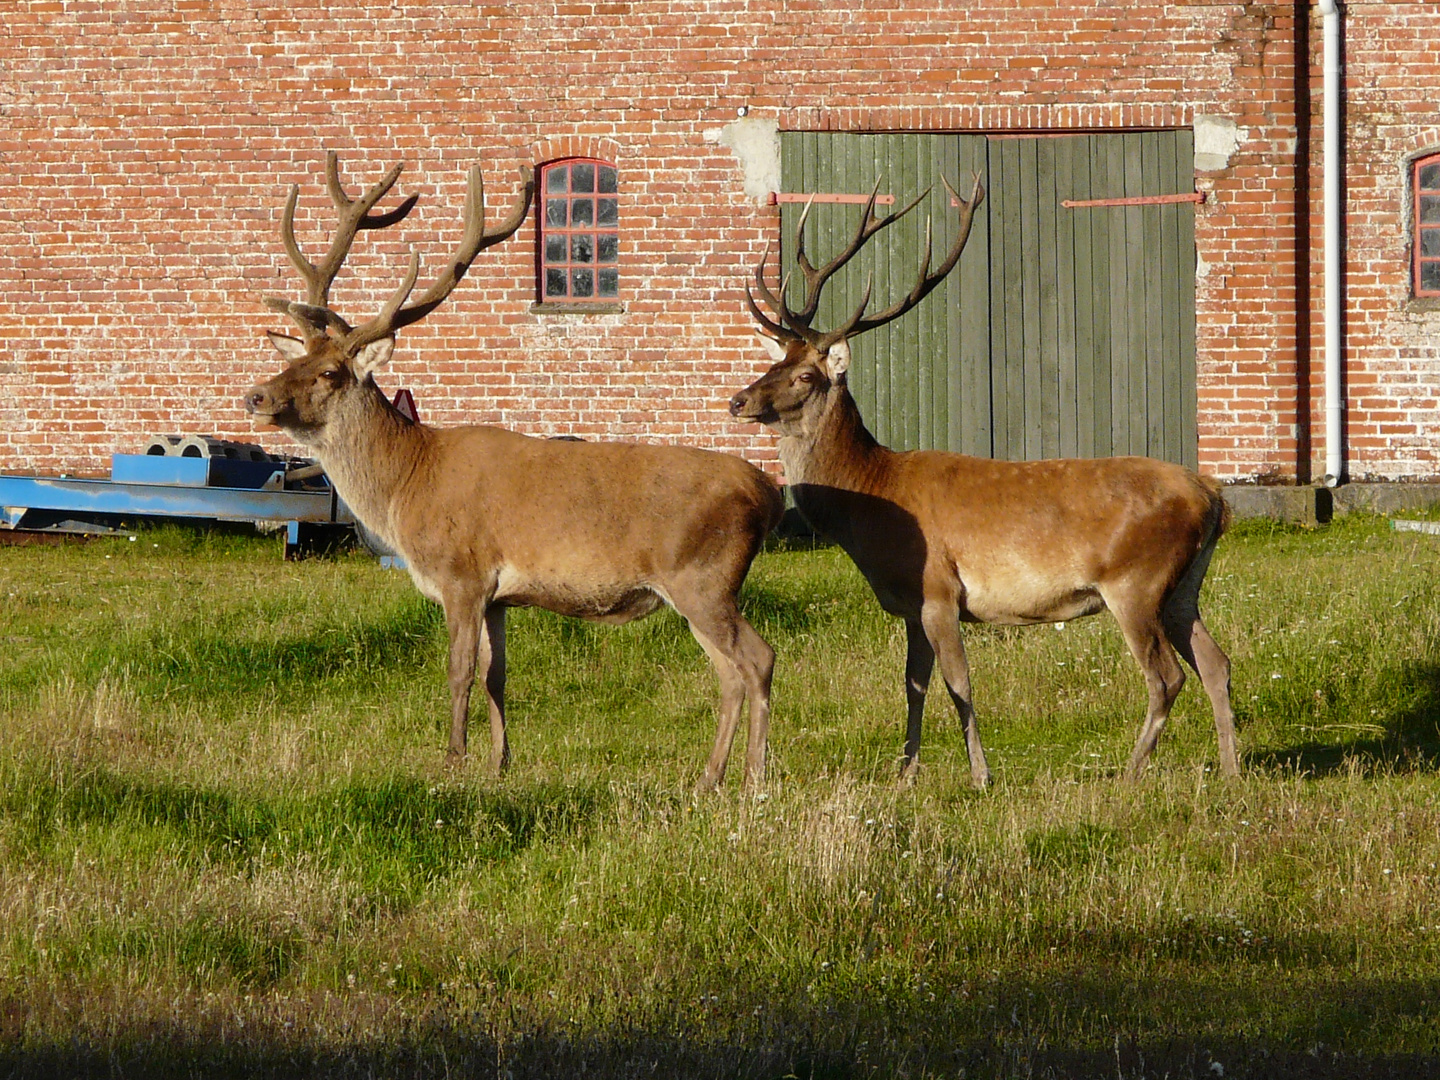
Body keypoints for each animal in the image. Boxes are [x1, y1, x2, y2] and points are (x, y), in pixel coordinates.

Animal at [249, 152, 789, 789]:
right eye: (297, 358)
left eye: (331, 372)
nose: (257, 396)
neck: (408, 483)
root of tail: (768, 493)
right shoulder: (499, 596)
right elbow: (495, 674)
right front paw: (498, 762)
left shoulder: (462, 573)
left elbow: (458, 671)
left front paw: (452, 761)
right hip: (700, 589)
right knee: (731, 672)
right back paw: (710, 778)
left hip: (704, 578)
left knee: (757, 659)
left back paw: (752, 780)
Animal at [731, 177, 1238, 789]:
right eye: (774, 362)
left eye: (806, 374)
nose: (739, 401)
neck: (873, 501)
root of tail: (1214, 497)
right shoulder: (911, 605)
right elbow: (914, 685)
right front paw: (905, 773)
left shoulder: (939, 590)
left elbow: (959, 684)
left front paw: (980, 775)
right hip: (1184, 586)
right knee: (1215, 663)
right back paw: (1234, 771)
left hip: (1135, 581)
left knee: (1166, 675)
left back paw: (1130, 771)